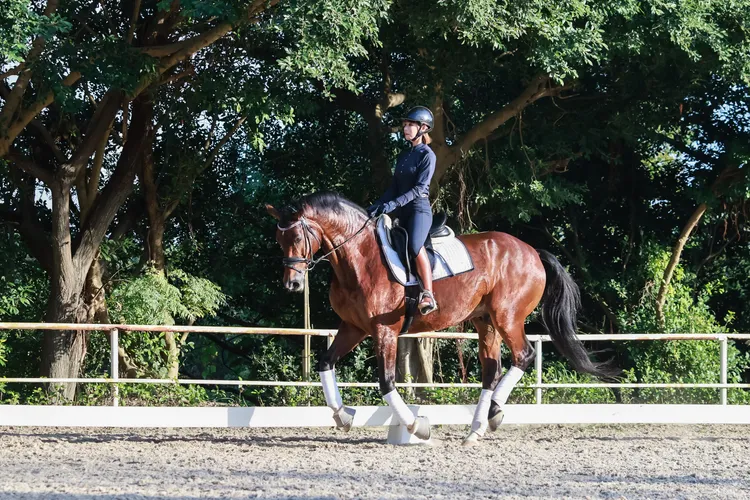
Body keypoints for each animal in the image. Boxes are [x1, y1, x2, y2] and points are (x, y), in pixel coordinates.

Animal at [266, 192, 617, 445]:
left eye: (297, 237)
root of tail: (532, 251)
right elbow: (325, 362)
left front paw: (416, 426)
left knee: (524, 355)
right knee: (491, 370)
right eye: (280, 240)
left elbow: (387, 381)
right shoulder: (354, 327)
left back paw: (494, 413)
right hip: (485, 322)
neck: (360, 258)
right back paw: (475, 429)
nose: (292, 284)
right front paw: (343, 416)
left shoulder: (384, 330)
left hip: (507, 317)